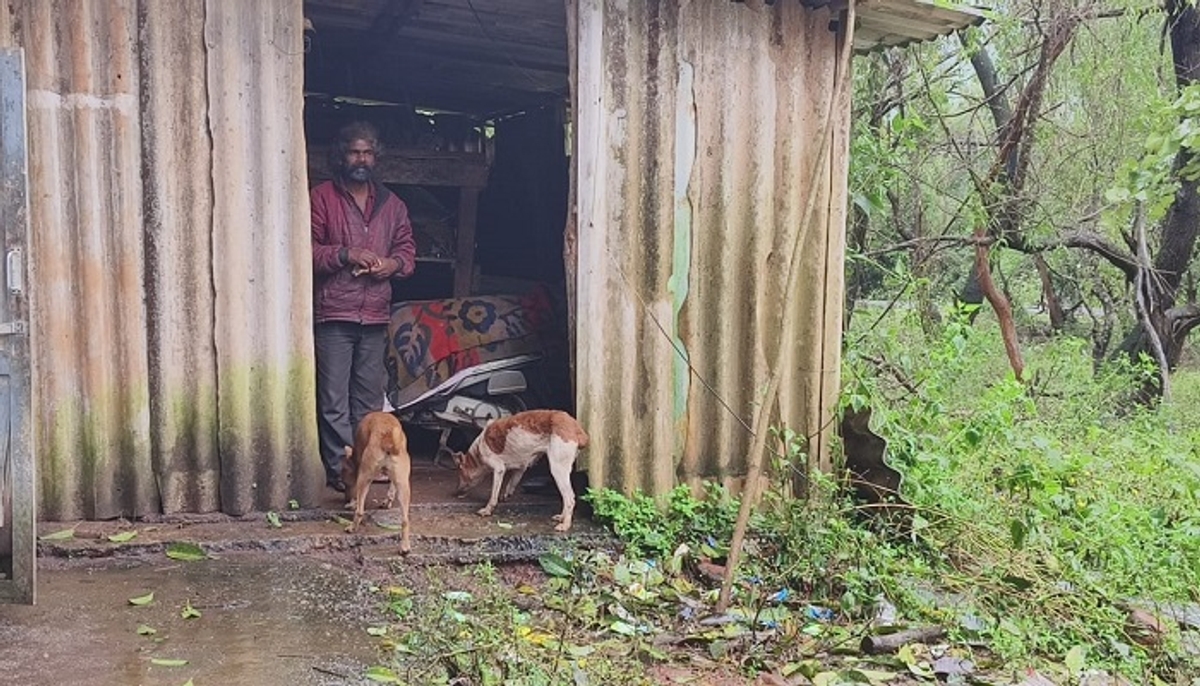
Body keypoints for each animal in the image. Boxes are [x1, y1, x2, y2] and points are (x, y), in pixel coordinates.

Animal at [343, 412, 412, 551]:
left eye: (345, 483)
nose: (346, 498)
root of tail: (388, 438)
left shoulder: (360, 474)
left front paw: (351, 503)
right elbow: (391, 489)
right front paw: (387, 502)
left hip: (364, 477)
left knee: (360, 511)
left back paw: (352, 527)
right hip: (404, 486)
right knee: (405, 520)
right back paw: (404, 546)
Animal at [451, 410, 588, 532]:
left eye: (460, 475)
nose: (456, 492)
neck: (478, 451)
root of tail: (576, 428)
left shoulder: (499, 469)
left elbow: (493, 496)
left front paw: (487, 510)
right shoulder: (521, 467)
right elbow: (512, 482)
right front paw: (507, 494)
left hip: (557, 469)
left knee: (570, 498)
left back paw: (565, 525)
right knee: (566, 497)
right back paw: (561, 517)